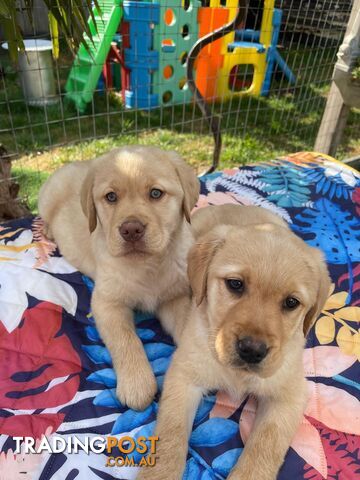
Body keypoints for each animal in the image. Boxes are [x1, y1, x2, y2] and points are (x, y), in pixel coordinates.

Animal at [38, 145, 200, 408]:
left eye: (156, 193)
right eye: (111, 197)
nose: (131, 229)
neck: (147, 265)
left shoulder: (174, 297)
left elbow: (186, 324)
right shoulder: (106, 302)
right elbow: (125, 338)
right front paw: (137, 384)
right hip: (46, 197)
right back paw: (49, 231)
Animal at [137, 205, 330, 480]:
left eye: (291, 302)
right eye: (235, 284)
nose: (252, 350)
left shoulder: (289, 395)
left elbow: (265, 444)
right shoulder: (184, 376)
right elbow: (171, 432)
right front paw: (159, 473)